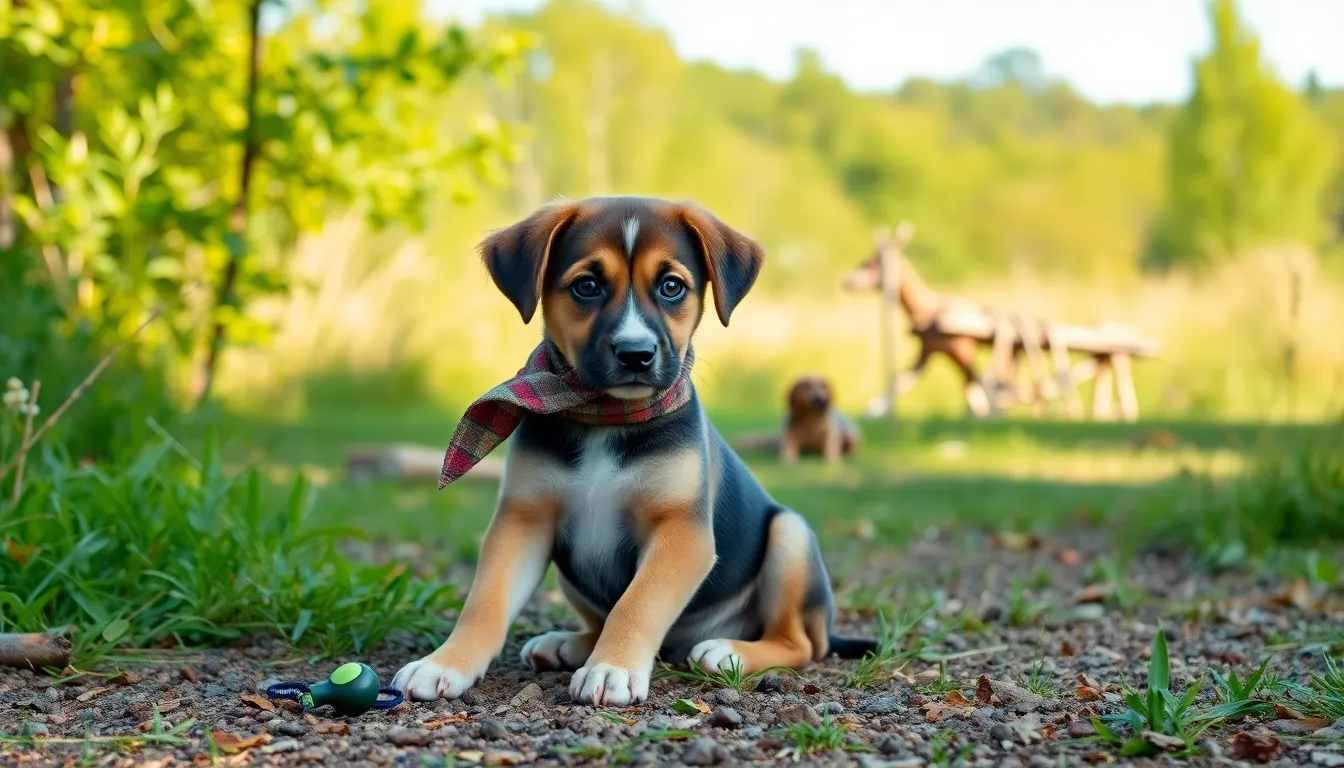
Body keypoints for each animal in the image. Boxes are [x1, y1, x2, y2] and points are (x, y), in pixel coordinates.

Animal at [392, 197, 870, 710]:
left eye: (671, 286)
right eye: (586, 286)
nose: (636, 354)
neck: (607, 416)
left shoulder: (682, 532)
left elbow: (637, 603)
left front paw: (612, 668)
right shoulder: (522, 520)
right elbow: (486, 601)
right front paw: (445, 663)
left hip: (791, 534)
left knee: (799, 643)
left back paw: (727, 651)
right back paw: (567, 644)